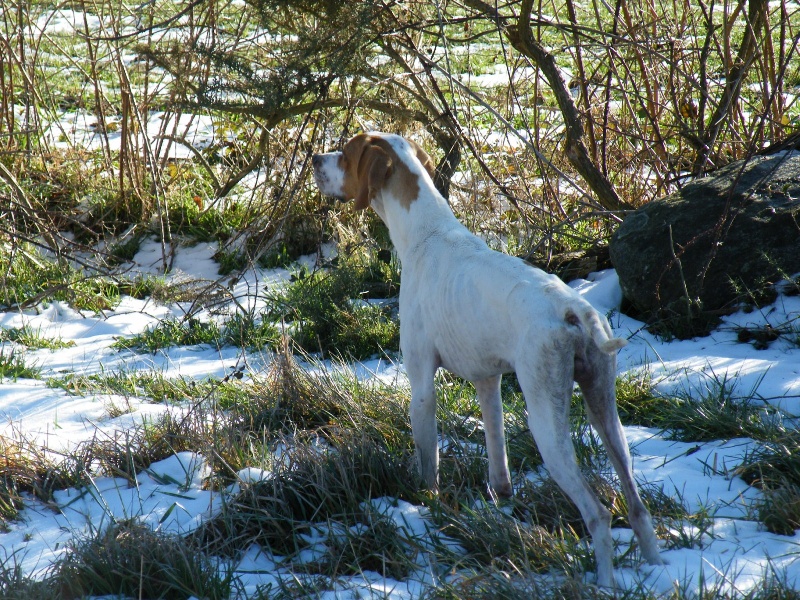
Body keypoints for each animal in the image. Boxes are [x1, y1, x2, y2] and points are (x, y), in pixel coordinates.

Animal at [312, 132, 664, 584]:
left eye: (346, 152)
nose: (314, 158)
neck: (428, 234)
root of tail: (572, 310)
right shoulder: (487, 383)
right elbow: (499, 464)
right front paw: (501, 505)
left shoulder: (422, 388)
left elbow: (429, 467)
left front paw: (429, 507)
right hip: (606, 412)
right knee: (637, 507)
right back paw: (658, 571)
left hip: (547, 425)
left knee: (599, 515)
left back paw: (603, 582)